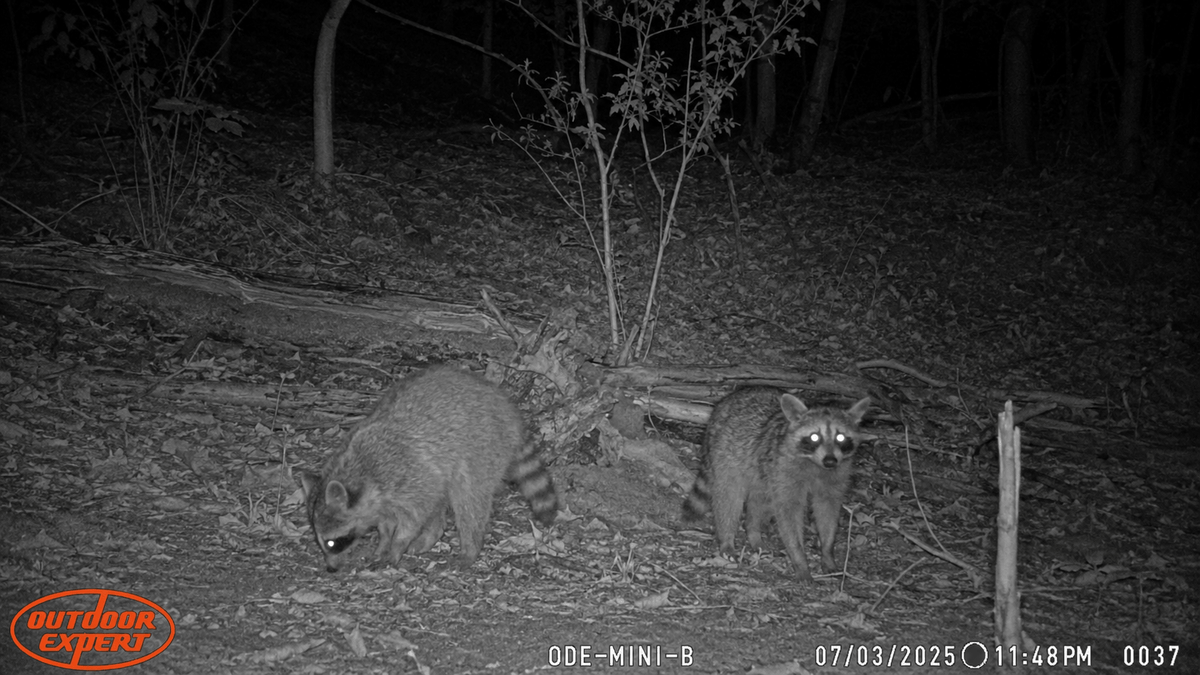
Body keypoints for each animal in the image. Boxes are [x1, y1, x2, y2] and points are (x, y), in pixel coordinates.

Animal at [300, 367, 557, 572]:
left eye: (333, 542)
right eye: (320, 541)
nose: (331, 568)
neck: (357, 472)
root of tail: (509, 412)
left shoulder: (410, 474)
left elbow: (415, 516)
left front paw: (397, 545)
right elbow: (388, 521)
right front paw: (383, 541)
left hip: (482, 448)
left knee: (468, 498)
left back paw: (469, 546)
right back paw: (433, 534)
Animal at [682, 387, 871, 583]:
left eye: (840, 437)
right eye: (814, 436)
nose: (830, 460)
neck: (816, 464)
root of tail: (727, 400)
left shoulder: (836, 476)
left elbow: (828, 510)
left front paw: (827, 550)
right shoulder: (785, 470)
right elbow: (788, 515)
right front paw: (799, 558)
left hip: (762, 474)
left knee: (760, 501)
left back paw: (753, 532)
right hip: (727, 455)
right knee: (729, 497)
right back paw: (727, 539)